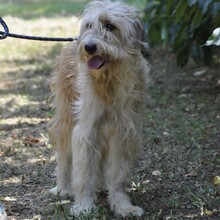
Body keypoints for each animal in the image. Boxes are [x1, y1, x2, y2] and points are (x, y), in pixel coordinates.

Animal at [49, 0, 150, 217]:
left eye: (110, 26)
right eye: (88, 25)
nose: (89, 47)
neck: (109, 82)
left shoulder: (123, 131)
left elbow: (119, 175)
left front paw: (122, 205)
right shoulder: (86, 130)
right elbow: (84, 171)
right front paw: (84, 205)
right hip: (66, 118)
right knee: (64, 155)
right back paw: (63, 187)